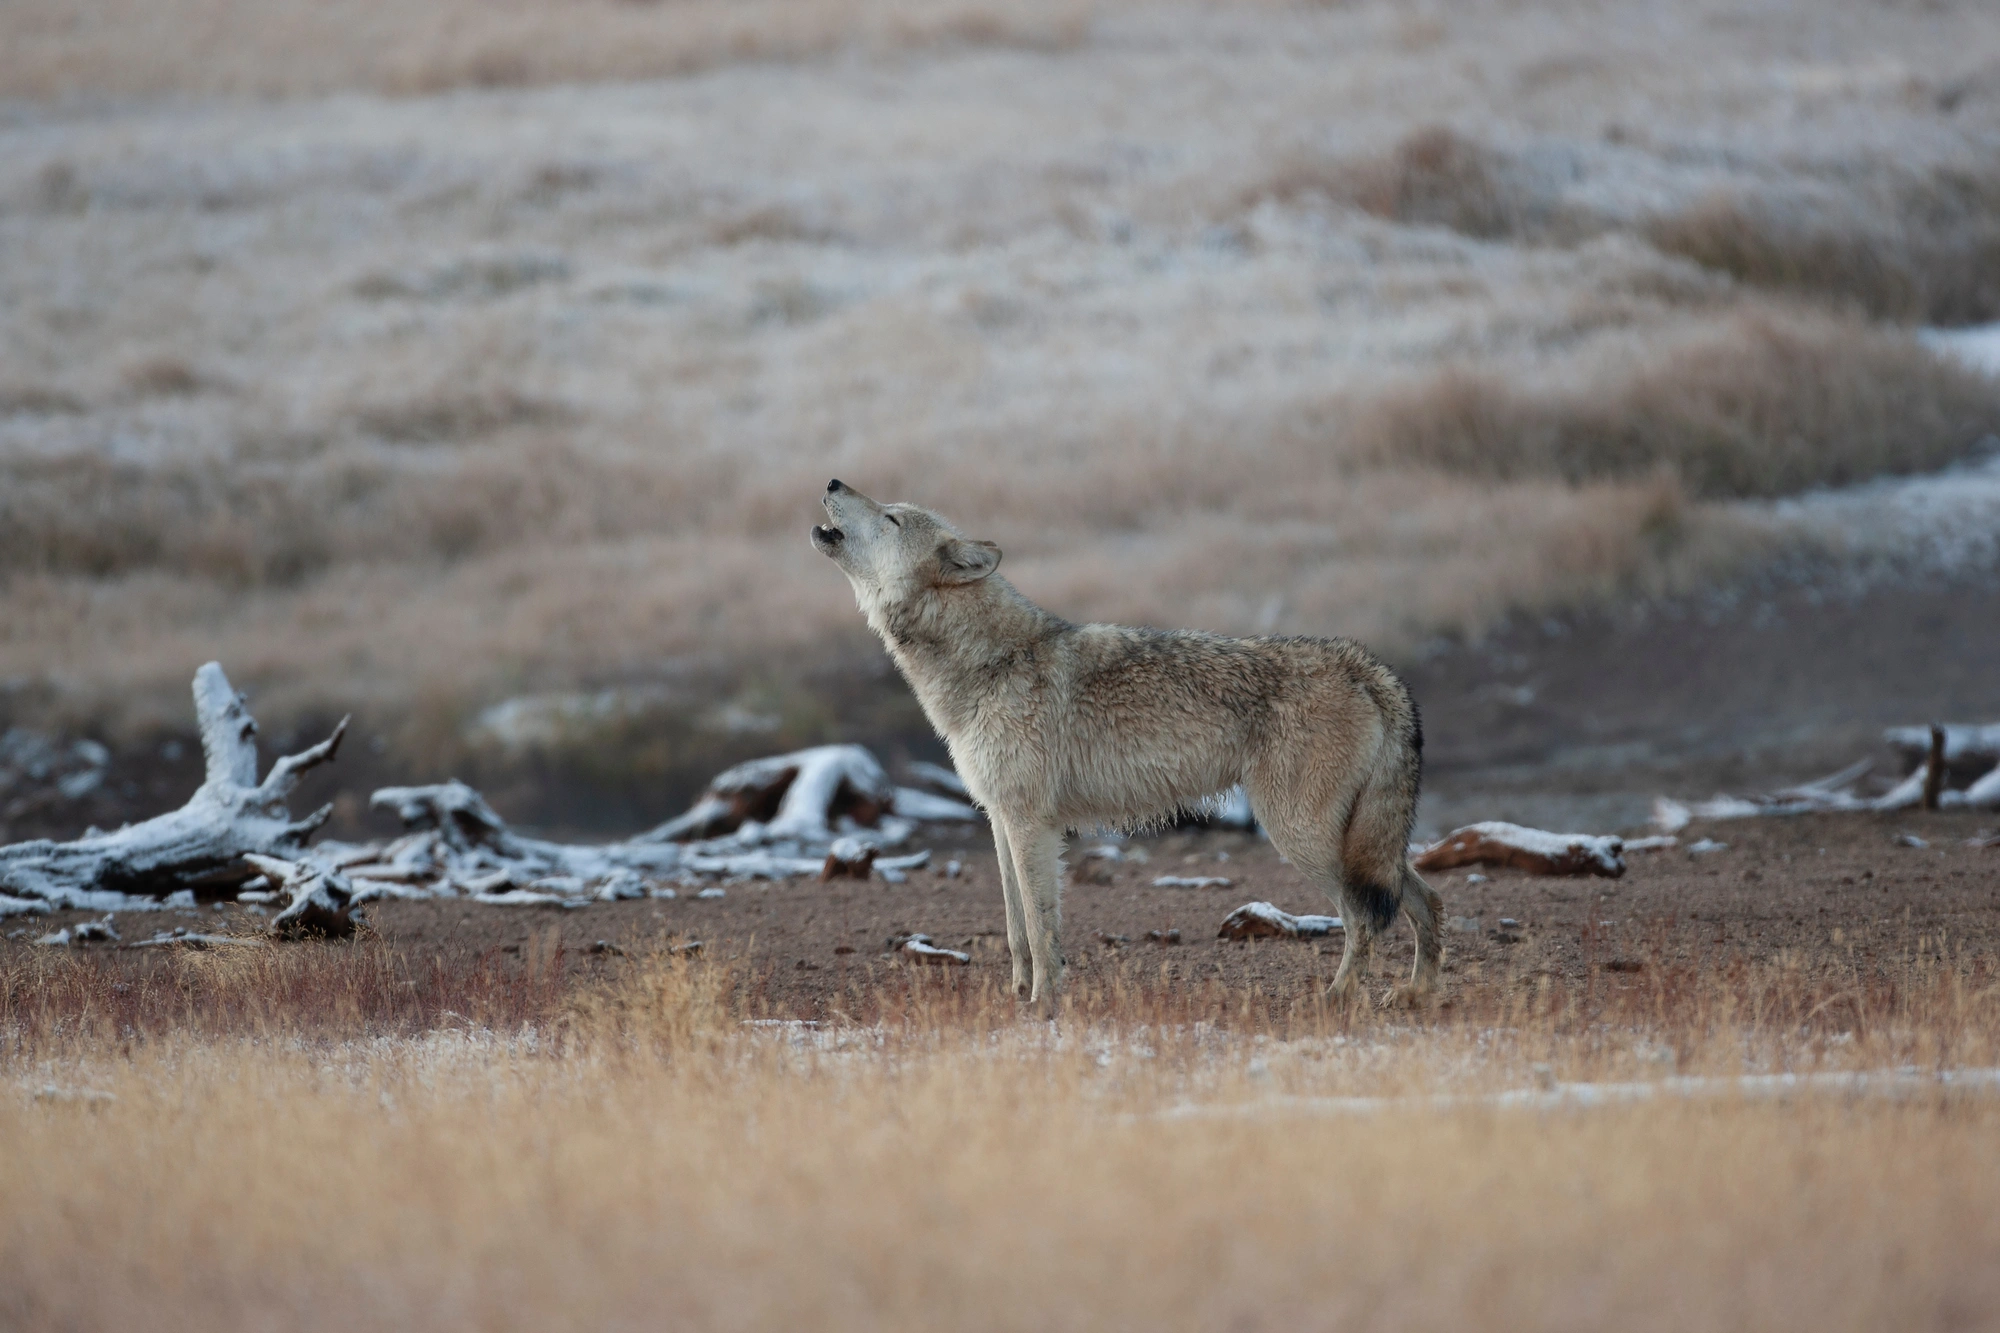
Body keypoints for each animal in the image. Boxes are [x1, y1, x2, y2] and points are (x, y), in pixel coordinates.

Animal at [812, 478, 1440, 1008]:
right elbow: (1016, 928)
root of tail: (1363, 664)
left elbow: (1040, 928)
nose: (834, 482)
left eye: (891, 517)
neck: (988, 663)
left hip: (1302, 837)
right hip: (1354, 846)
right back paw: (1415, 993)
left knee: (1364, 918)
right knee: (1424, 900)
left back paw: (1336, 999)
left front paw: (1043, 1005)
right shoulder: (1000, 818)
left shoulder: (1030, 823)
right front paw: (1017, 998)